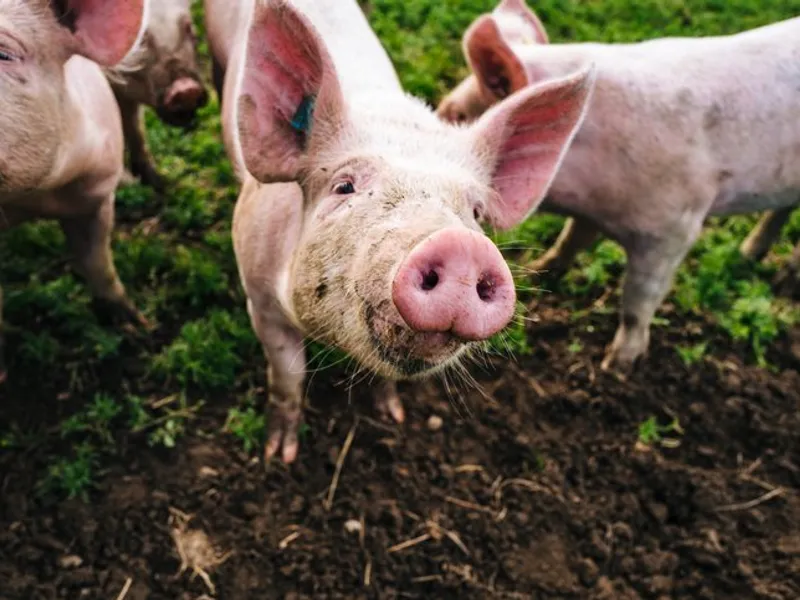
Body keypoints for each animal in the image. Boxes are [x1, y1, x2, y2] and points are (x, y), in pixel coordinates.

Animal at [108, 0, 209, 190]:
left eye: (188, 27)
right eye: (139, 39)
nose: (186, 89)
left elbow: (136, 129)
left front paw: (158, 184)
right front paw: (129, 183)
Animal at [203, 0, 596, 462]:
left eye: (476, 212)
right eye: (345, 186)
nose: (461, 245)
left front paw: (393, 416)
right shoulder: (259, 298)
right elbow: (289, 374)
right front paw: (279, 455)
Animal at [434, 0, 800, 376]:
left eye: (456, 115)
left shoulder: (675, 228)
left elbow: (639, 299)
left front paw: (617, 365)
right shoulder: (590, 213)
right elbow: (572, 239)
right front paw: (540, 269)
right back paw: (748, 254)